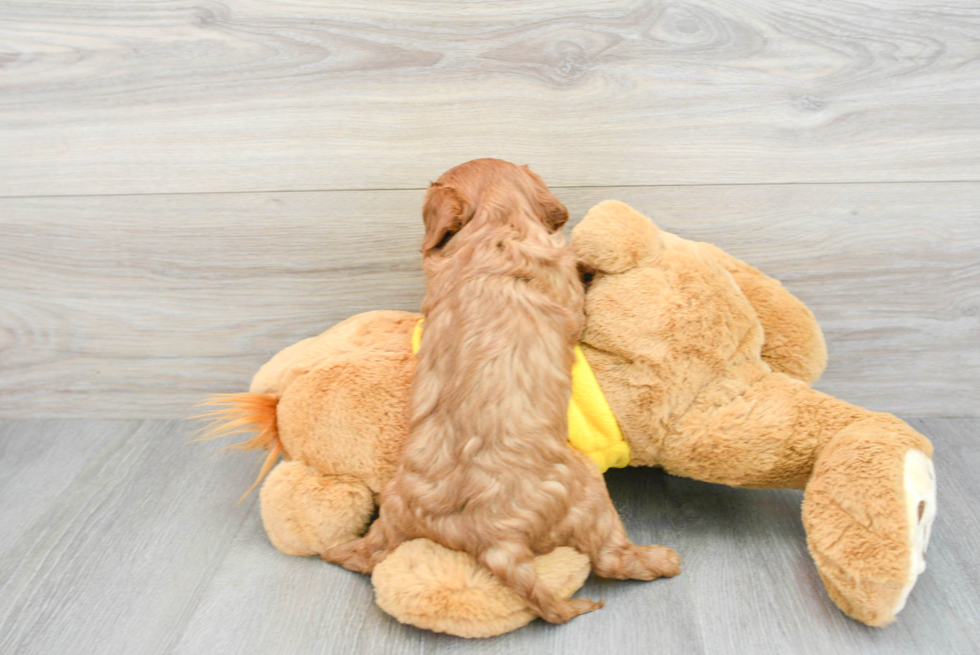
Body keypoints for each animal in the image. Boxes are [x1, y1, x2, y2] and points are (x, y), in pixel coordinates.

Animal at [324, 160, 680, 624]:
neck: (497, 225)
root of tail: (490, 539)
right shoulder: (566, 293)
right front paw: (587, 268)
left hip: (396, 508)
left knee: (371, 553)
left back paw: (343, 550)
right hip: (586, 485)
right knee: (610, 559)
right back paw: (661, 559)